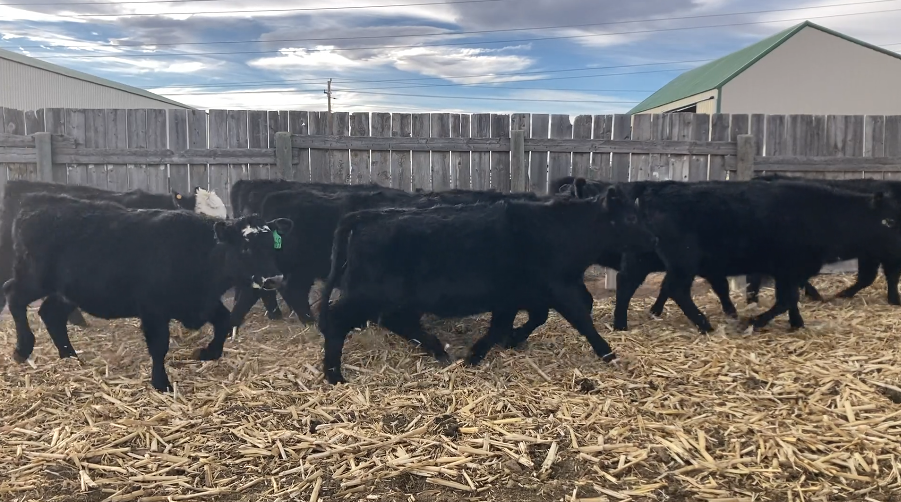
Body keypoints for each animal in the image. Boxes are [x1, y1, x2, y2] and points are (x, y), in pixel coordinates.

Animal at [316, 185, 656, 384]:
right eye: (630, 218)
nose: (652, 243)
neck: (560, 229)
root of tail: (364, 216)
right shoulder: (558, 289)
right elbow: (582, 320)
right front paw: (608, 353)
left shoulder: (518, 297)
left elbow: (516, 323)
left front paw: (488, 349)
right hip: (367, 294)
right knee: (337, 320)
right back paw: (334, 375)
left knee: (397, 322)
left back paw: (438, 350)